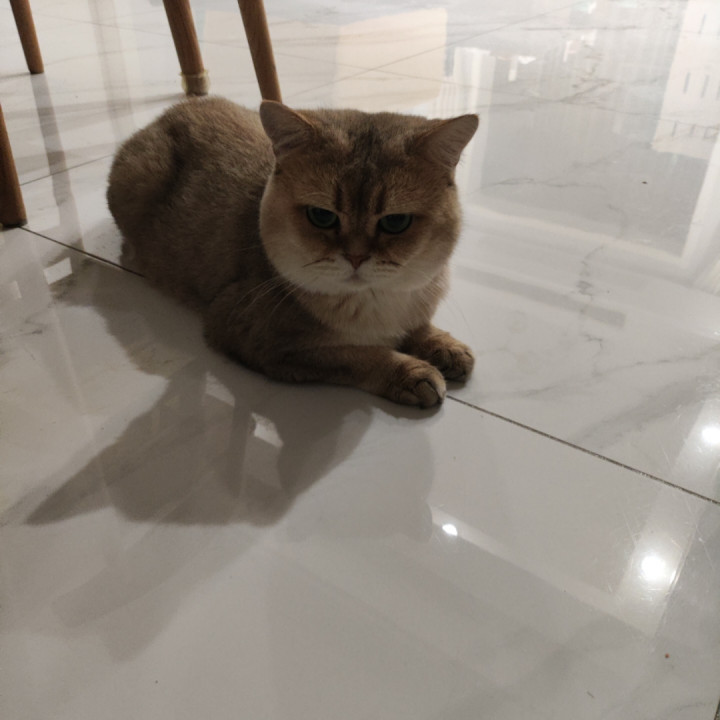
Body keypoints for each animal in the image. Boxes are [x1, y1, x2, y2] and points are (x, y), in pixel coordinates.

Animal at [106, 96, 478, 407]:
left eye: (396, 222)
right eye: (322, 216)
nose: (356, 257)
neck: (376, 303)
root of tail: (170, 111)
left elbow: (416, 324)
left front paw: (442, 345)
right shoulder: (257, 338)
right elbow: (357, 354)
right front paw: (411, 373)